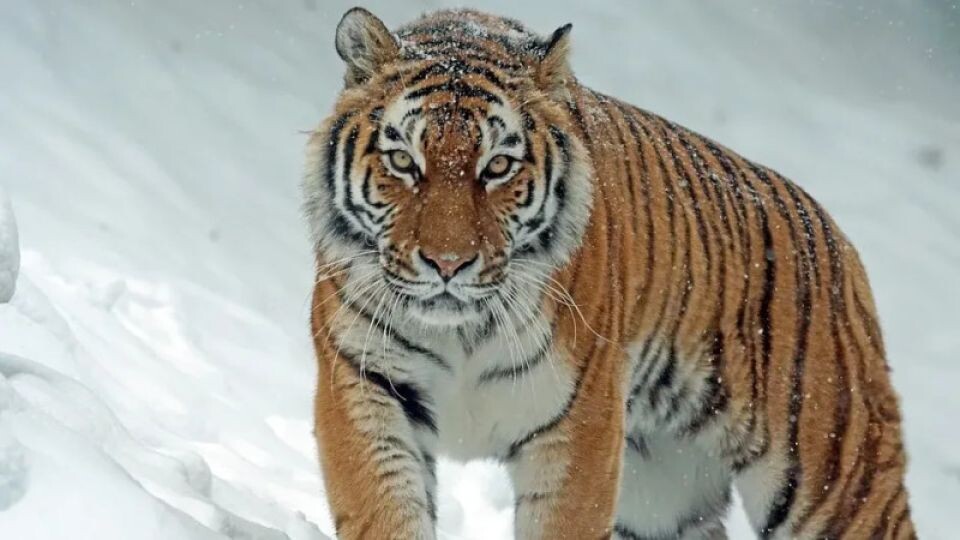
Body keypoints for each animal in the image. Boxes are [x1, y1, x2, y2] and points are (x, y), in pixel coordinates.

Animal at [303, 7, 915, 540]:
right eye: (403, 161)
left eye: (497, 166)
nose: (448, 263)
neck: (462, 331)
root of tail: (839, 243)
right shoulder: (365, 386)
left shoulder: (580, 424)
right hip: (663, 495)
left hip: (836, 481)